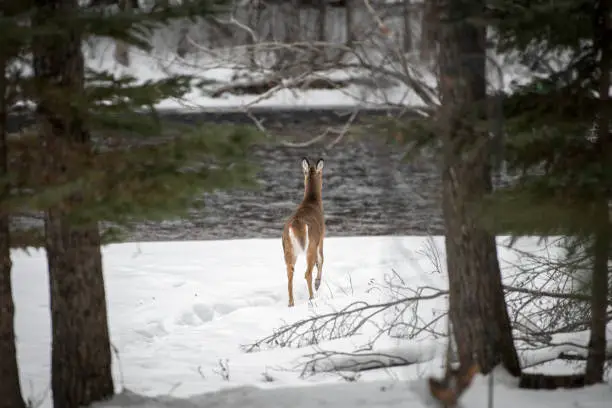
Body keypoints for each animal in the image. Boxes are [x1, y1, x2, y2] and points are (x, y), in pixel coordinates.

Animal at [284, 158, 326, 308]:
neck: (312, 202)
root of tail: (297, 224)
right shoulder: (322, 236)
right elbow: (321, 259)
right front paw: (318, 284)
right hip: (310, 246)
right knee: (307, 272)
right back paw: (312, 297)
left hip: (288, 249)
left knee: (290, 274)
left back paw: (291, 303)